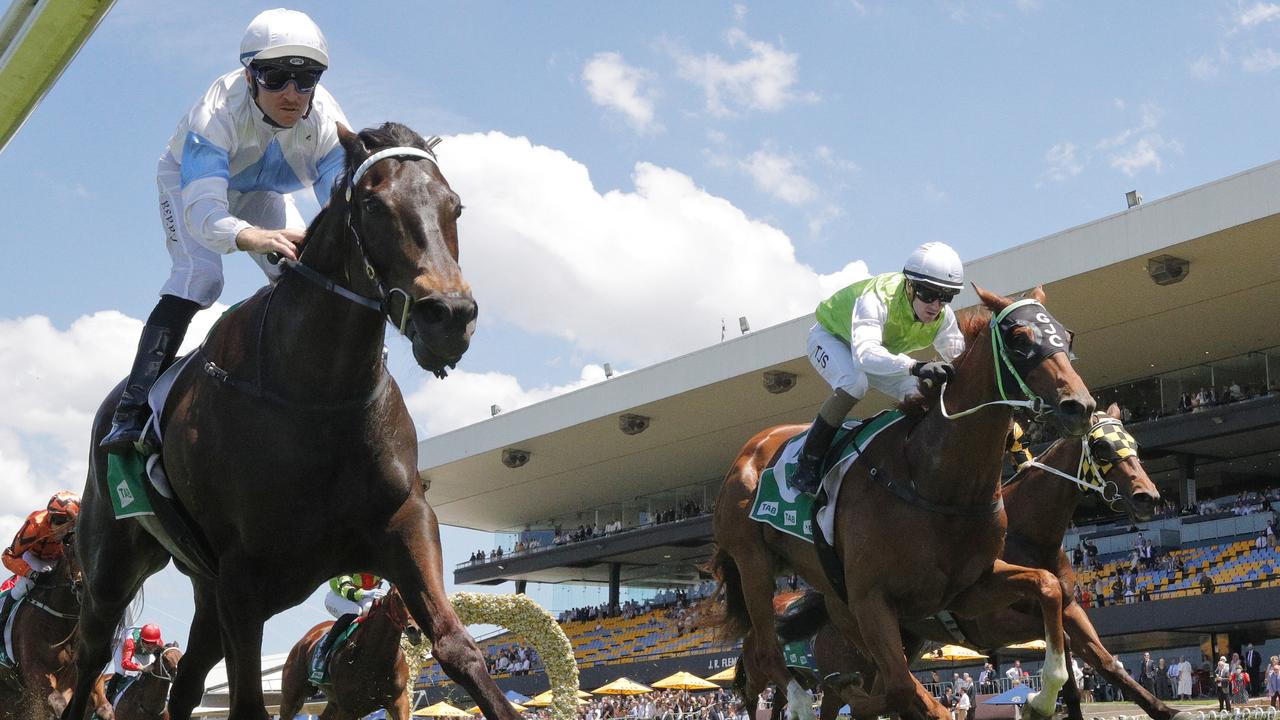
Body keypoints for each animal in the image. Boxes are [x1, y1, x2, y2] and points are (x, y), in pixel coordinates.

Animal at [277, 584, 422, 717]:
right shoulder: (348, 709)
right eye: (397, 597)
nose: (415, 630)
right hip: (291, 697)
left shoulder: (399, 702)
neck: (374, 657)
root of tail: (305, 639)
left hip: (332, 702)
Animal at [706, 284, 1095, 717]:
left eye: (1066, 336)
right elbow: (902, 688)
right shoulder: (872, 598)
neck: (934, 481)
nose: (1079, 406)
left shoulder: (968, 591)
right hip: (753, 562)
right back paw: (802, 699)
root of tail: (750, 449)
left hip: (837, 602)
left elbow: (1048, 586)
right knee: (769, 652)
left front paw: (1042, 696)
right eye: (1020, 338)